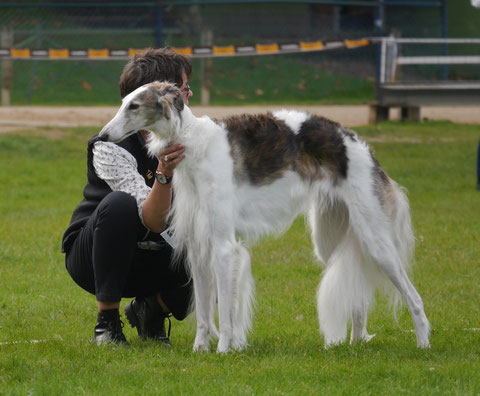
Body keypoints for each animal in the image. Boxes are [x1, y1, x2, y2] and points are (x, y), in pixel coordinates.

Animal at [98, 81, 432, 352]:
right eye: (123, 102)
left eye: (134, 105)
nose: (102, 135)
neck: (193, 144)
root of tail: (360, 144)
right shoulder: (198, 248)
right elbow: (204, 313)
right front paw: (200, 350)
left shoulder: (222, 246)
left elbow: (224, 310)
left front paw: (224, 349)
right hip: (331, 240)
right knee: (357, 297)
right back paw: (355, 343)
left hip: (375, 238)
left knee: (414, 298)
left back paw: (423, 344)